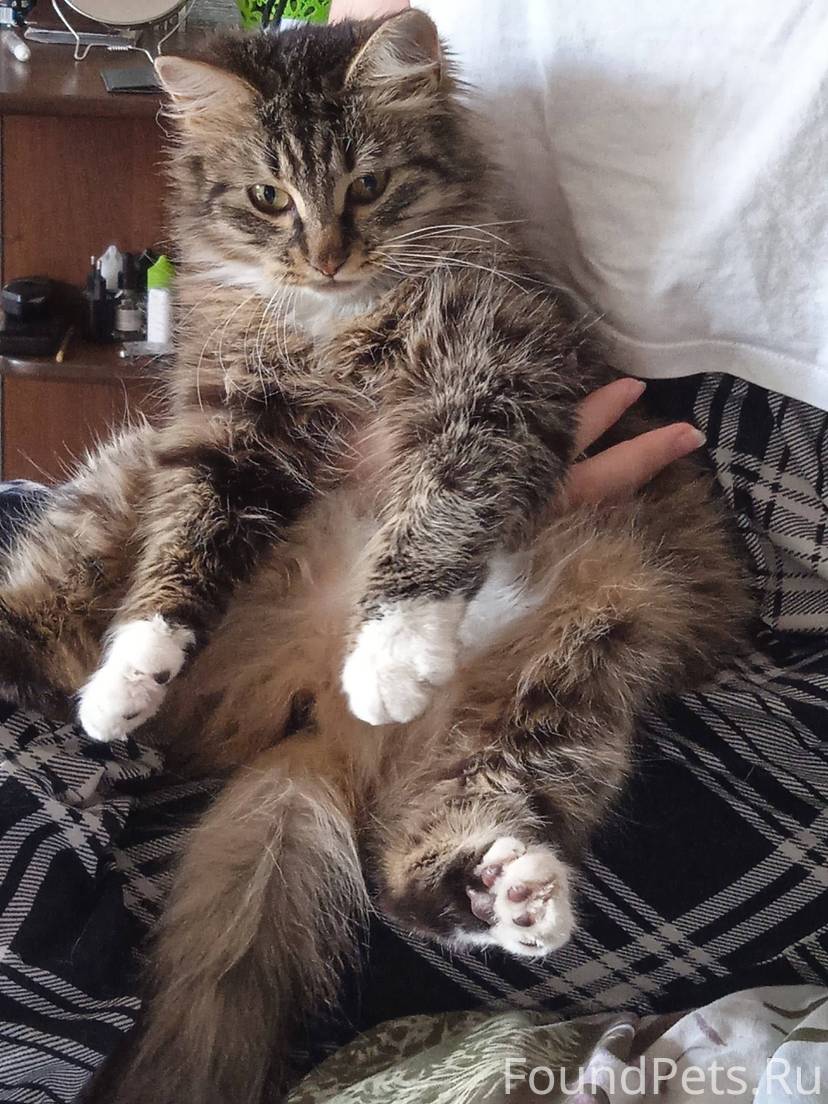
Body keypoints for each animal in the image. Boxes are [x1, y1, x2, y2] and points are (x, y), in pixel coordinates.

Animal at [0, 12, 748, 1104]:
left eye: (367, 184)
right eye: (270, 198)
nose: (325, 258)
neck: (334, 321)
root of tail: (316, 712)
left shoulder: (494, 377)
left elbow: (435, 513)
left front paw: (392, 651)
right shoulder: (225, 429)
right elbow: (181, 551)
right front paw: (130, 675)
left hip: (578, 675)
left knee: (427, 865)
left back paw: (499, 887)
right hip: (115, 490)